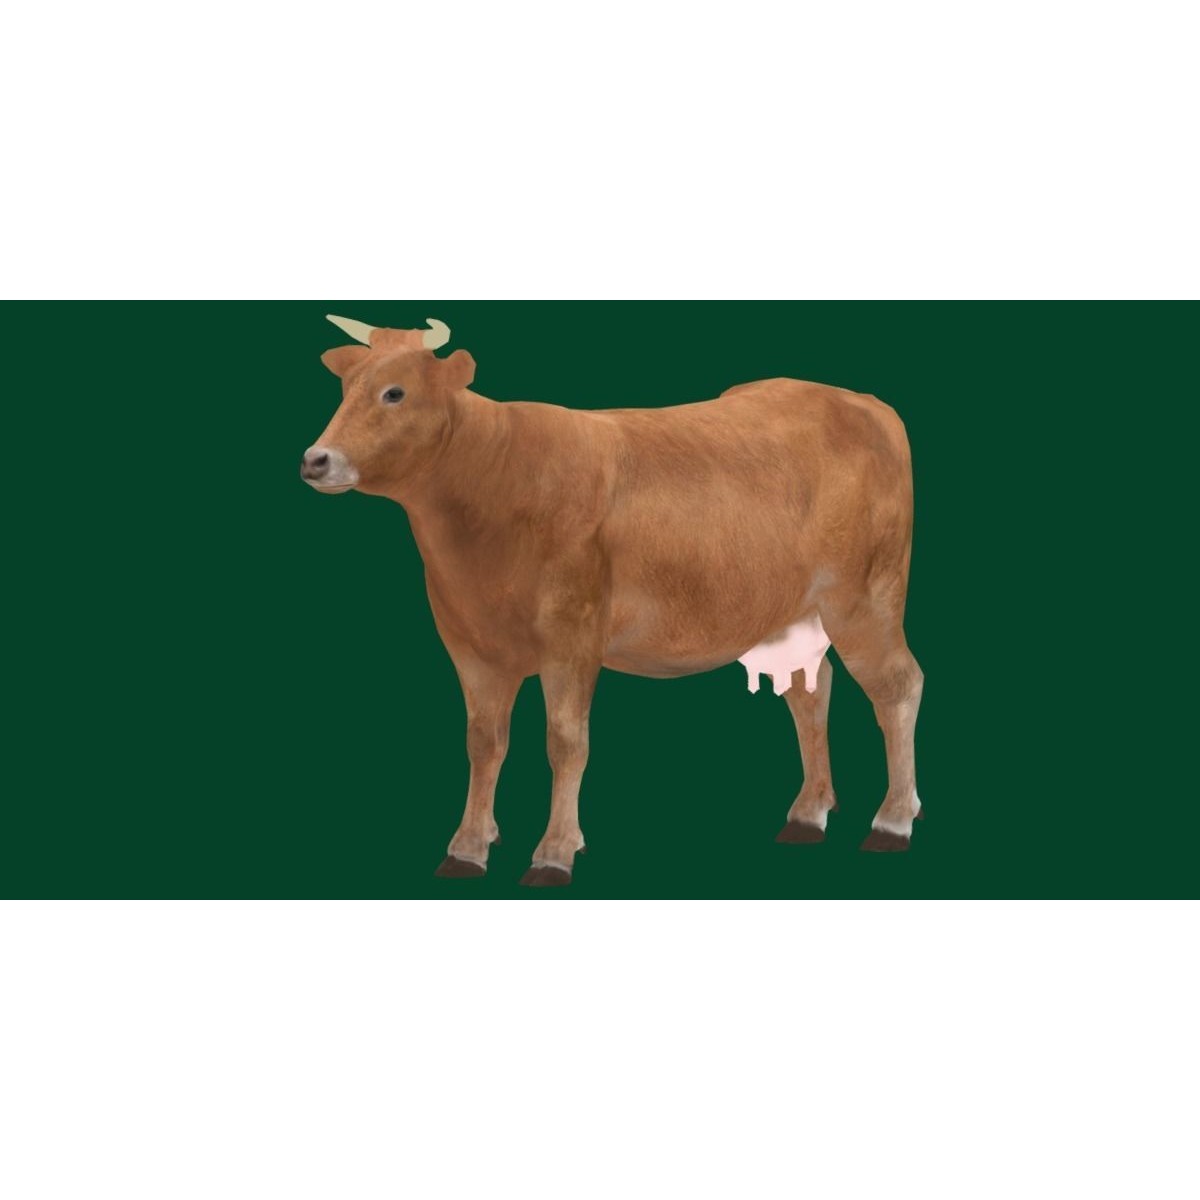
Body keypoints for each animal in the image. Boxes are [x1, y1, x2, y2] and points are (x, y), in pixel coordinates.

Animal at [301, 314, 924, 886]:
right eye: (345, 387)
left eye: (395, 391)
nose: (315, 459)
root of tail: (861, 401)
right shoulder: (470, 644)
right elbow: (484, 742)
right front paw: (469, 847)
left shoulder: (572, 637)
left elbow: (566, 742)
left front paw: (554, 852)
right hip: (793, 611)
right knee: (808, 692)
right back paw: (808, 814)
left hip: (866, 597)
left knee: (897, 685)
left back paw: (892, 821)